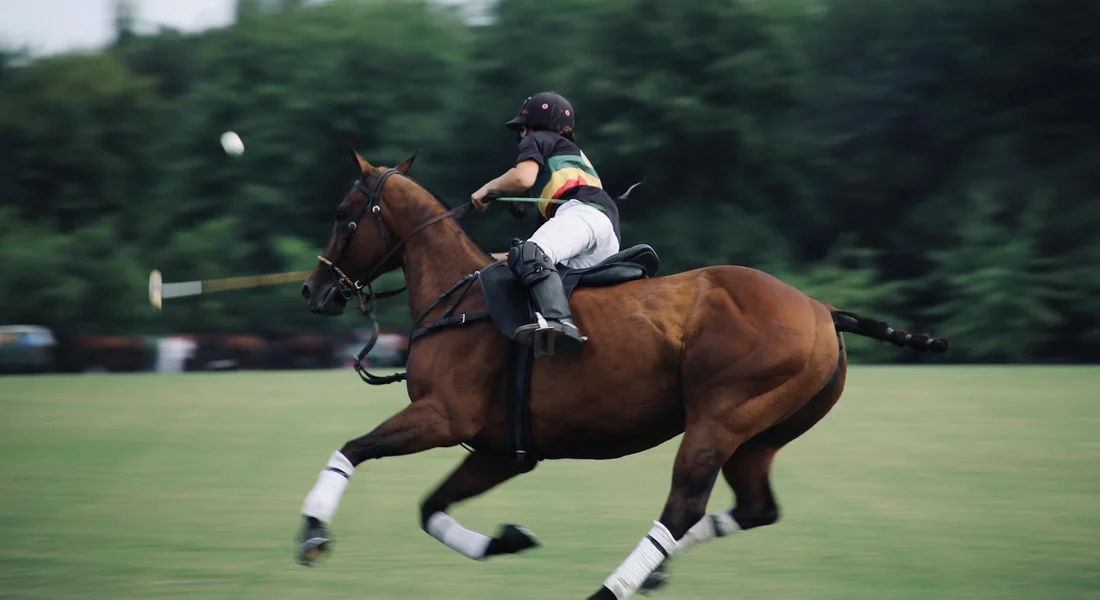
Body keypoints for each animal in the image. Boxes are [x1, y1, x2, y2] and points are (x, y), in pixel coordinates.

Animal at [295, 148, 949, 600]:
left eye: (343, 214)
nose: (315, 290)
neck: (458, 297)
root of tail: (821, 308)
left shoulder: (442, 416)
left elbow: (353, 447)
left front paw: (312, 532)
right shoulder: (503, 449)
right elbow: (431, 507)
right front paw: (509, 539)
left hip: (719, 417)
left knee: (682, 507)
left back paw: (612, 588)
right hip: (760, 434)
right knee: (756, 508)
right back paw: (659, 572)